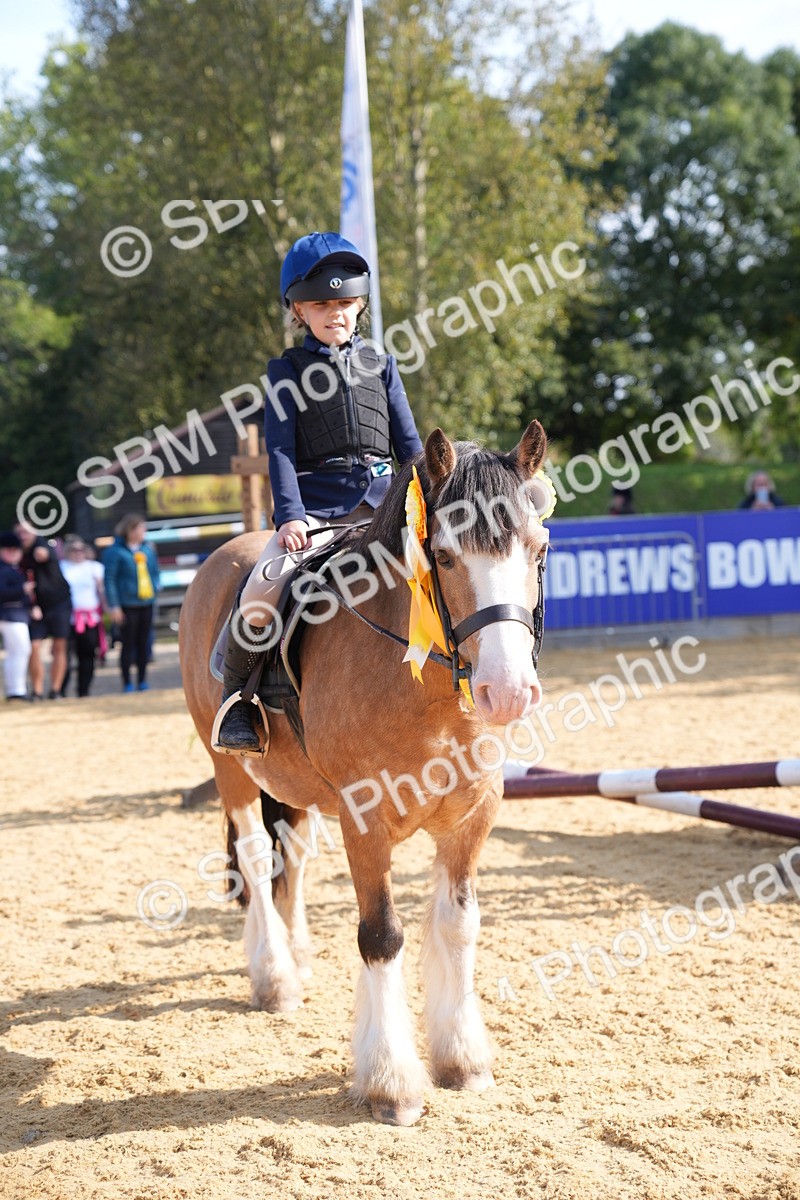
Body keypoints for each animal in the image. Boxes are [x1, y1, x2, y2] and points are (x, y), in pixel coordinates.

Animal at [179, 421, 550, 1126]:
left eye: (537, 548)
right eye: (445, 555)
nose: (508, 692)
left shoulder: (473, 817)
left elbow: (458, 925)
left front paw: (463, 1059)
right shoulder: (365, 820)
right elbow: (381, 936)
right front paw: (393, 1085)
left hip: (293, 788)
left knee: (289, 855)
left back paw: (295, 954)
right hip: (230, 768)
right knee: (253, 852)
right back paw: (274, 977)